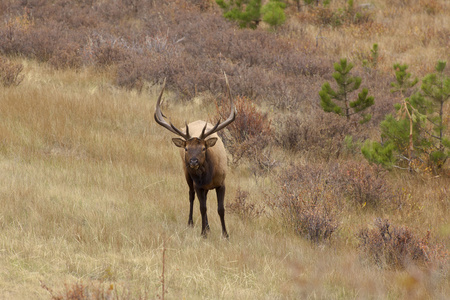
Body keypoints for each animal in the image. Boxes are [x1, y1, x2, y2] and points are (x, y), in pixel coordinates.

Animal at [155, 74, 237, 237]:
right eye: (187, 148)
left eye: (203, 148)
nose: (193, 162)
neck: (209, 176)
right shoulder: (198, 184)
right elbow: (202, 208)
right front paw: (203, 233)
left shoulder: (222, 182)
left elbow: (221, 209)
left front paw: (225, 234)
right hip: (187, 175)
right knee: (192, 196)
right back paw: (192, 223)